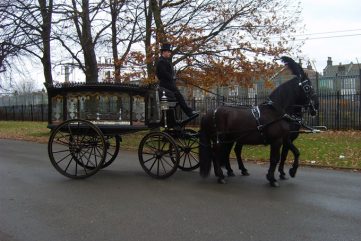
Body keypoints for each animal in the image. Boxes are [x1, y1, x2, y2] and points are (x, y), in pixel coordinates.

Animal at [198, 56, 316, 186]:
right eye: (308, 87)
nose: (316, 106)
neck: (275, 111)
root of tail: (208, 113)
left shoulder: (285, 139)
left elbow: (293, 153)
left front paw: (289, 172)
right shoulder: (277, 141)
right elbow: (275, 159)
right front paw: (273, 178)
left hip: (228, 138)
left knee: (223, 153)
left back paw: (226, 172)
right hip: (220, 139)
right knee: (216, 154)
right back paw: (221, 176)